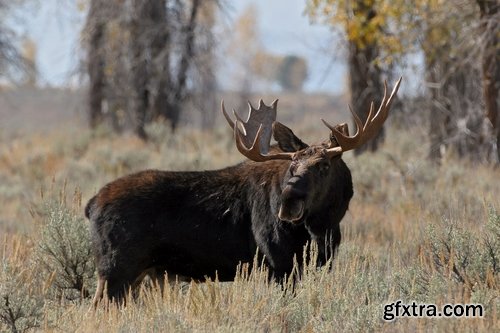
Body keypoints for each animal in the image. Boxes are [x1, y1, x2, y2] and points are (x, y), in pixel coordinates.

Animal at [85, 77, 398, 304]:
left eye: (323, 164)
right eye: (293, 164)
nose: (289, 201)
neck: (323, 226)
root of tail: (91, 205)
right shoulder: (278, 263)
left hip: (137, 271)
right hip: (116, 267)